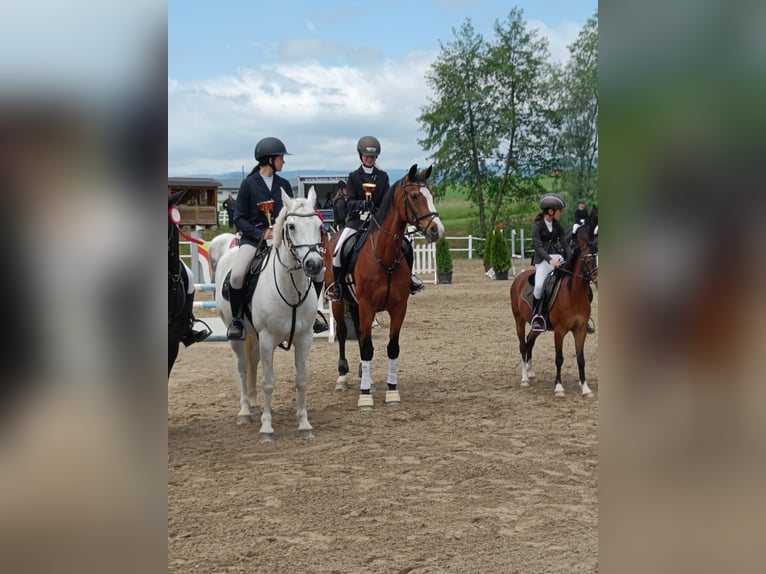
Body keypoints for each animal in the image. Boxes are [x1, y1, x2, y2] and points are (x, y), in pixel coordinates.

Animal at [215, 188, 325, 441]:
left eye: (318, 225)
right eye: (291, 226)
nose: (314, 265)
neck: (290, 289)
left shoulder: (304, 338)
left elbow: (301, 380)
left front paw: (304, 423)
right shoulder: (267, 339)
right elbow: (269, 383)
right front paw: (266, 427)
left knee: (252, 361)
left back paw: (255, 405)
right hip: (238, 335)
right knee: (243, 366)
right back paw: (245, 411)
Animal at [324, 164, 445, 409]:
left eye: (432, 195)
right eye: (415, 196)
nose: (437, 230)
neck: (385, 255)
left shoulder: (398, 308)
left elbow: (392, 347)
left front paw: (392, 391)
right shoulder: (367, 306)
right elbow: (366, 346)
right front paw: (365, 396)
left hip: (356, 305)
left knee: (360, 334)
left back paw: (363, 373)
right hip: (340, 303)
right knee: (343, 333)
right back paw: (342, 377)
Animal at [509, 207, 599, 397]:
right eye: (588, 260)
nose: (598, 279)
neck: (574, 295)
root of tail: (519, 278)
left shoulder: (580, 330)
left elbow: (581, 359)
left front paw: (585, 388)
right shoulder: (559, 330)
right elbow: (559, 358)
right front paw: (559, 387)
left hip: (537, 325)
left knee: (530, 340)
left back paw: (531, 372)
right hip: (519, 320)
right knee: (522, 345)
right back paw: (525, 378)